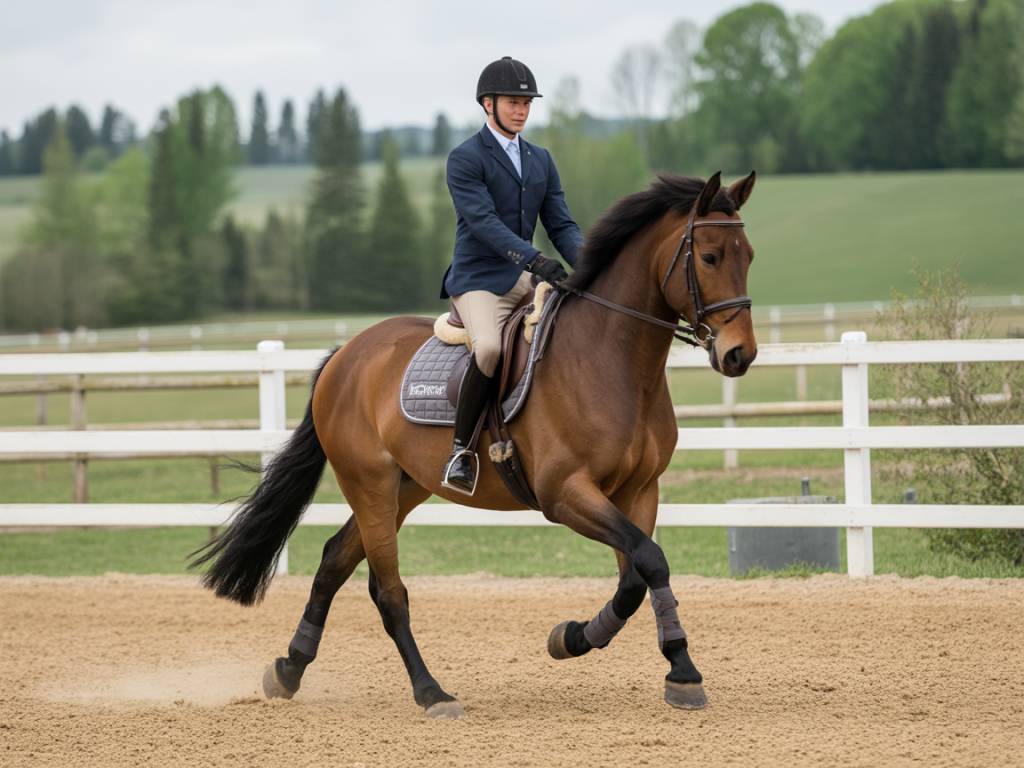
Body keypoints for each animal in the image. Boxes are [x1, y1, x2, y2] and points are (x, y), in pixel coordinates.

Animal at [191, 170, 758, 718]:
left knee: (334, 561)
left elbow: (637, 576)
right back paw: (430, 692)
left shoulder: (639, 490)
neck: (612, 360)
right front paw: (674, 668)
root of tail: (345, 355)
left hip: (405, 487)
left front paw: (583, 641)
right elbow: (649, 559)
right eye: (709, 257)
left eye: (749, 256)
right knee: (387, 591)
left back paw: (288, 669)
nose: (740, 355)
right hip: (369, 482)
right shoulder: (565, 494)